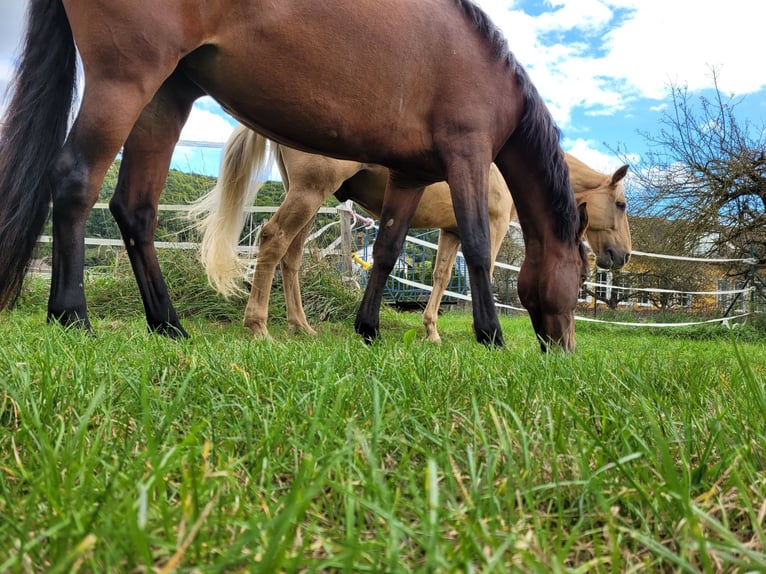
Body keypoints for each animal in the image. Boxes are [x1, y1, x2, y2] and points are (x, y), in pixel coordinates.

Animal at [194, 126, 630, 343]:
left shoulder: (451, 231)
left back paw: (301, 326)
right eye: (622, 204)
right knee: (272, 239)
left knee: (291, 256)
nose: (622, 255)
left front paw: (432, 331)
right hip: (308, 192)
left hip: (305, 196)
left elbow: (441, 277)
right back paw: (259, 327)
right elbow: (484, 271)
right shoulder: (491, 225)